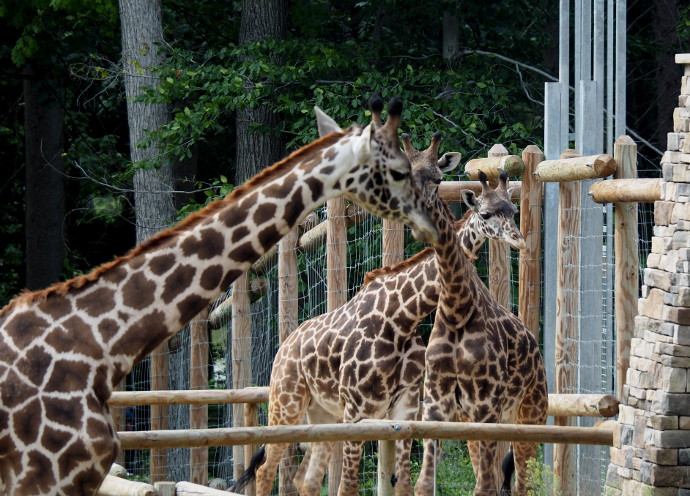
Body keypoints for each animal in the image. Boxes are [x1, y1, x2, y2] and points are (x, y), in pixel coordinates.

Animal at [234, 132, 524, 496]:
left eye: (512, 210)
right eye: (486, 213)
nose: (517, 240)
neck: (403, 317)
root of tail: (284, 348)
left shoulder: (404, 408)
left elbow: (403, 484)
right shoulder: (357, 409)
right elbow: (347, 487)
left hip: (321, 413)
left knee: (304, 479)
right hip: (286, 402)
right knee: (266, 470)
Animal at [408, 143, 548, 496]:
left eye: (513, 211)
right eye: (485, 214)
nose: (518, 239)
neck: (456, 309)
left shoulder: (486, 406)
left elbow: (485, 486)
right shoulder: (436, 406)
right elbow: (424, 484)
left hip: (530, 414)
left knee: (521, 482)